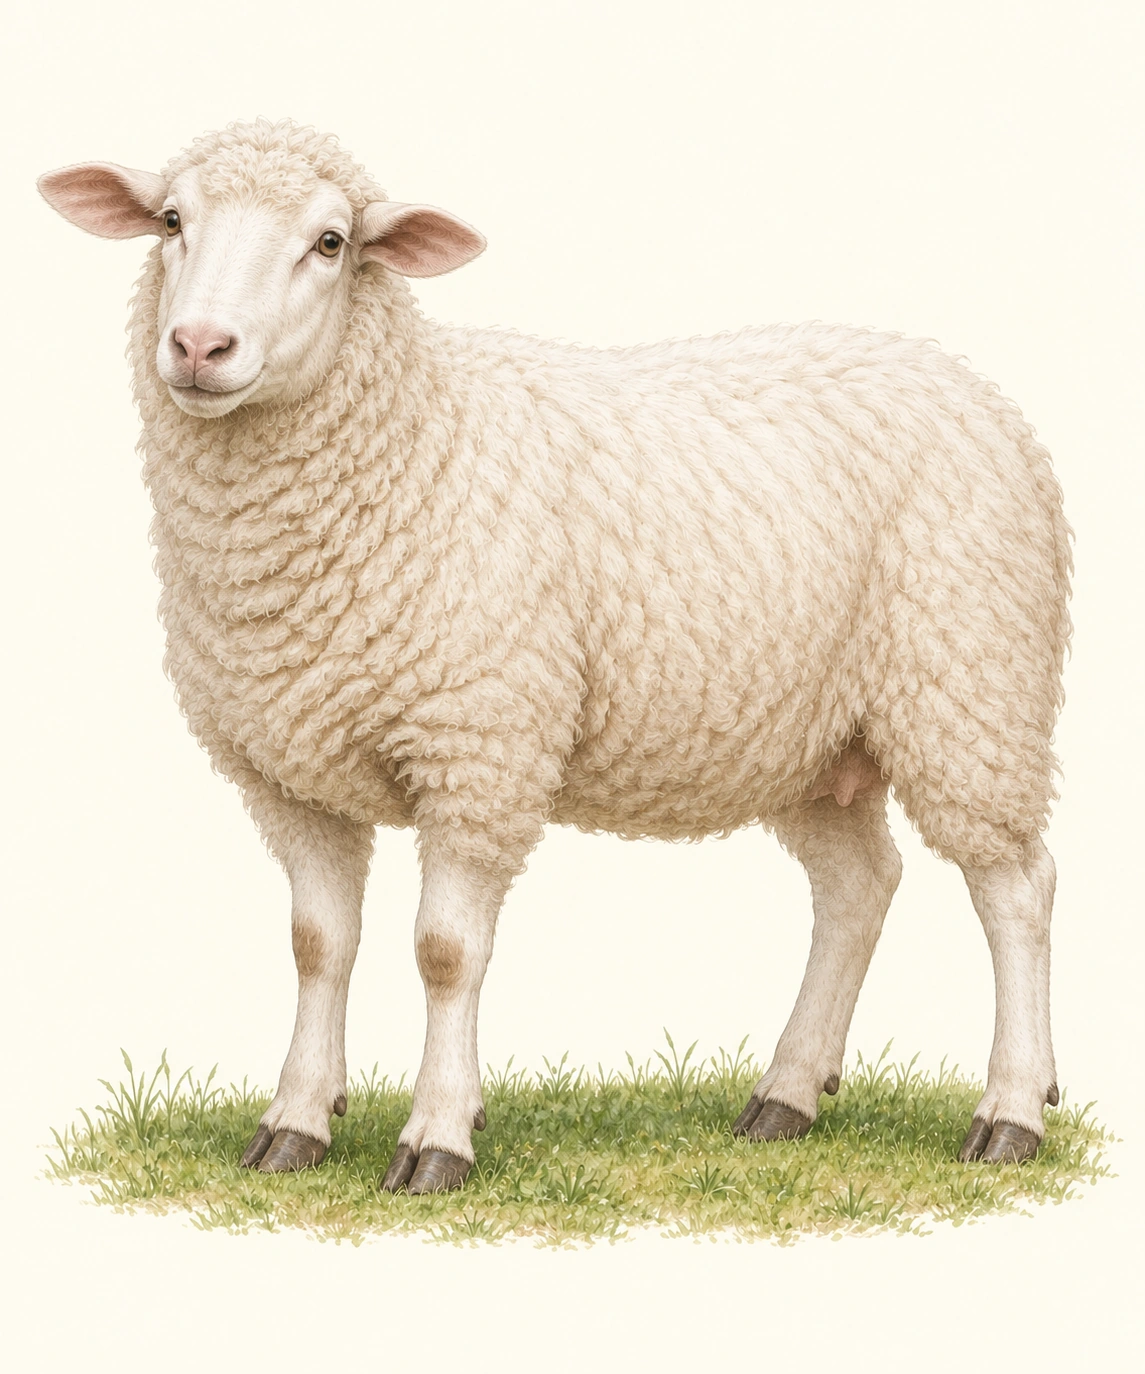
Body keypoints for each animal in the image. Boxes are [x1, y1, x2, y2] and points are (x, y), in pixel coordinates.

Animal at [38, 119, 1072, 1193]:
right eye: (170, 221)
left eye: (330, 242)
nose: (199, 346)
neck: (411, 439)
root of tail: (961, 377)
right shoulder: (290, 772)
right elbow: (317, 945)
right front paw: (295, 1124)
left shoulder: (478, 748)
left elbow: (445, 951)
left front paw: (437, 1138)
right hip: (812, 734)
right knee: (858, 888)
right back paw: (785, 1097)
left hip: (970, 688)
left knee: (1015, 889)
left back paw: (1010, 1112)